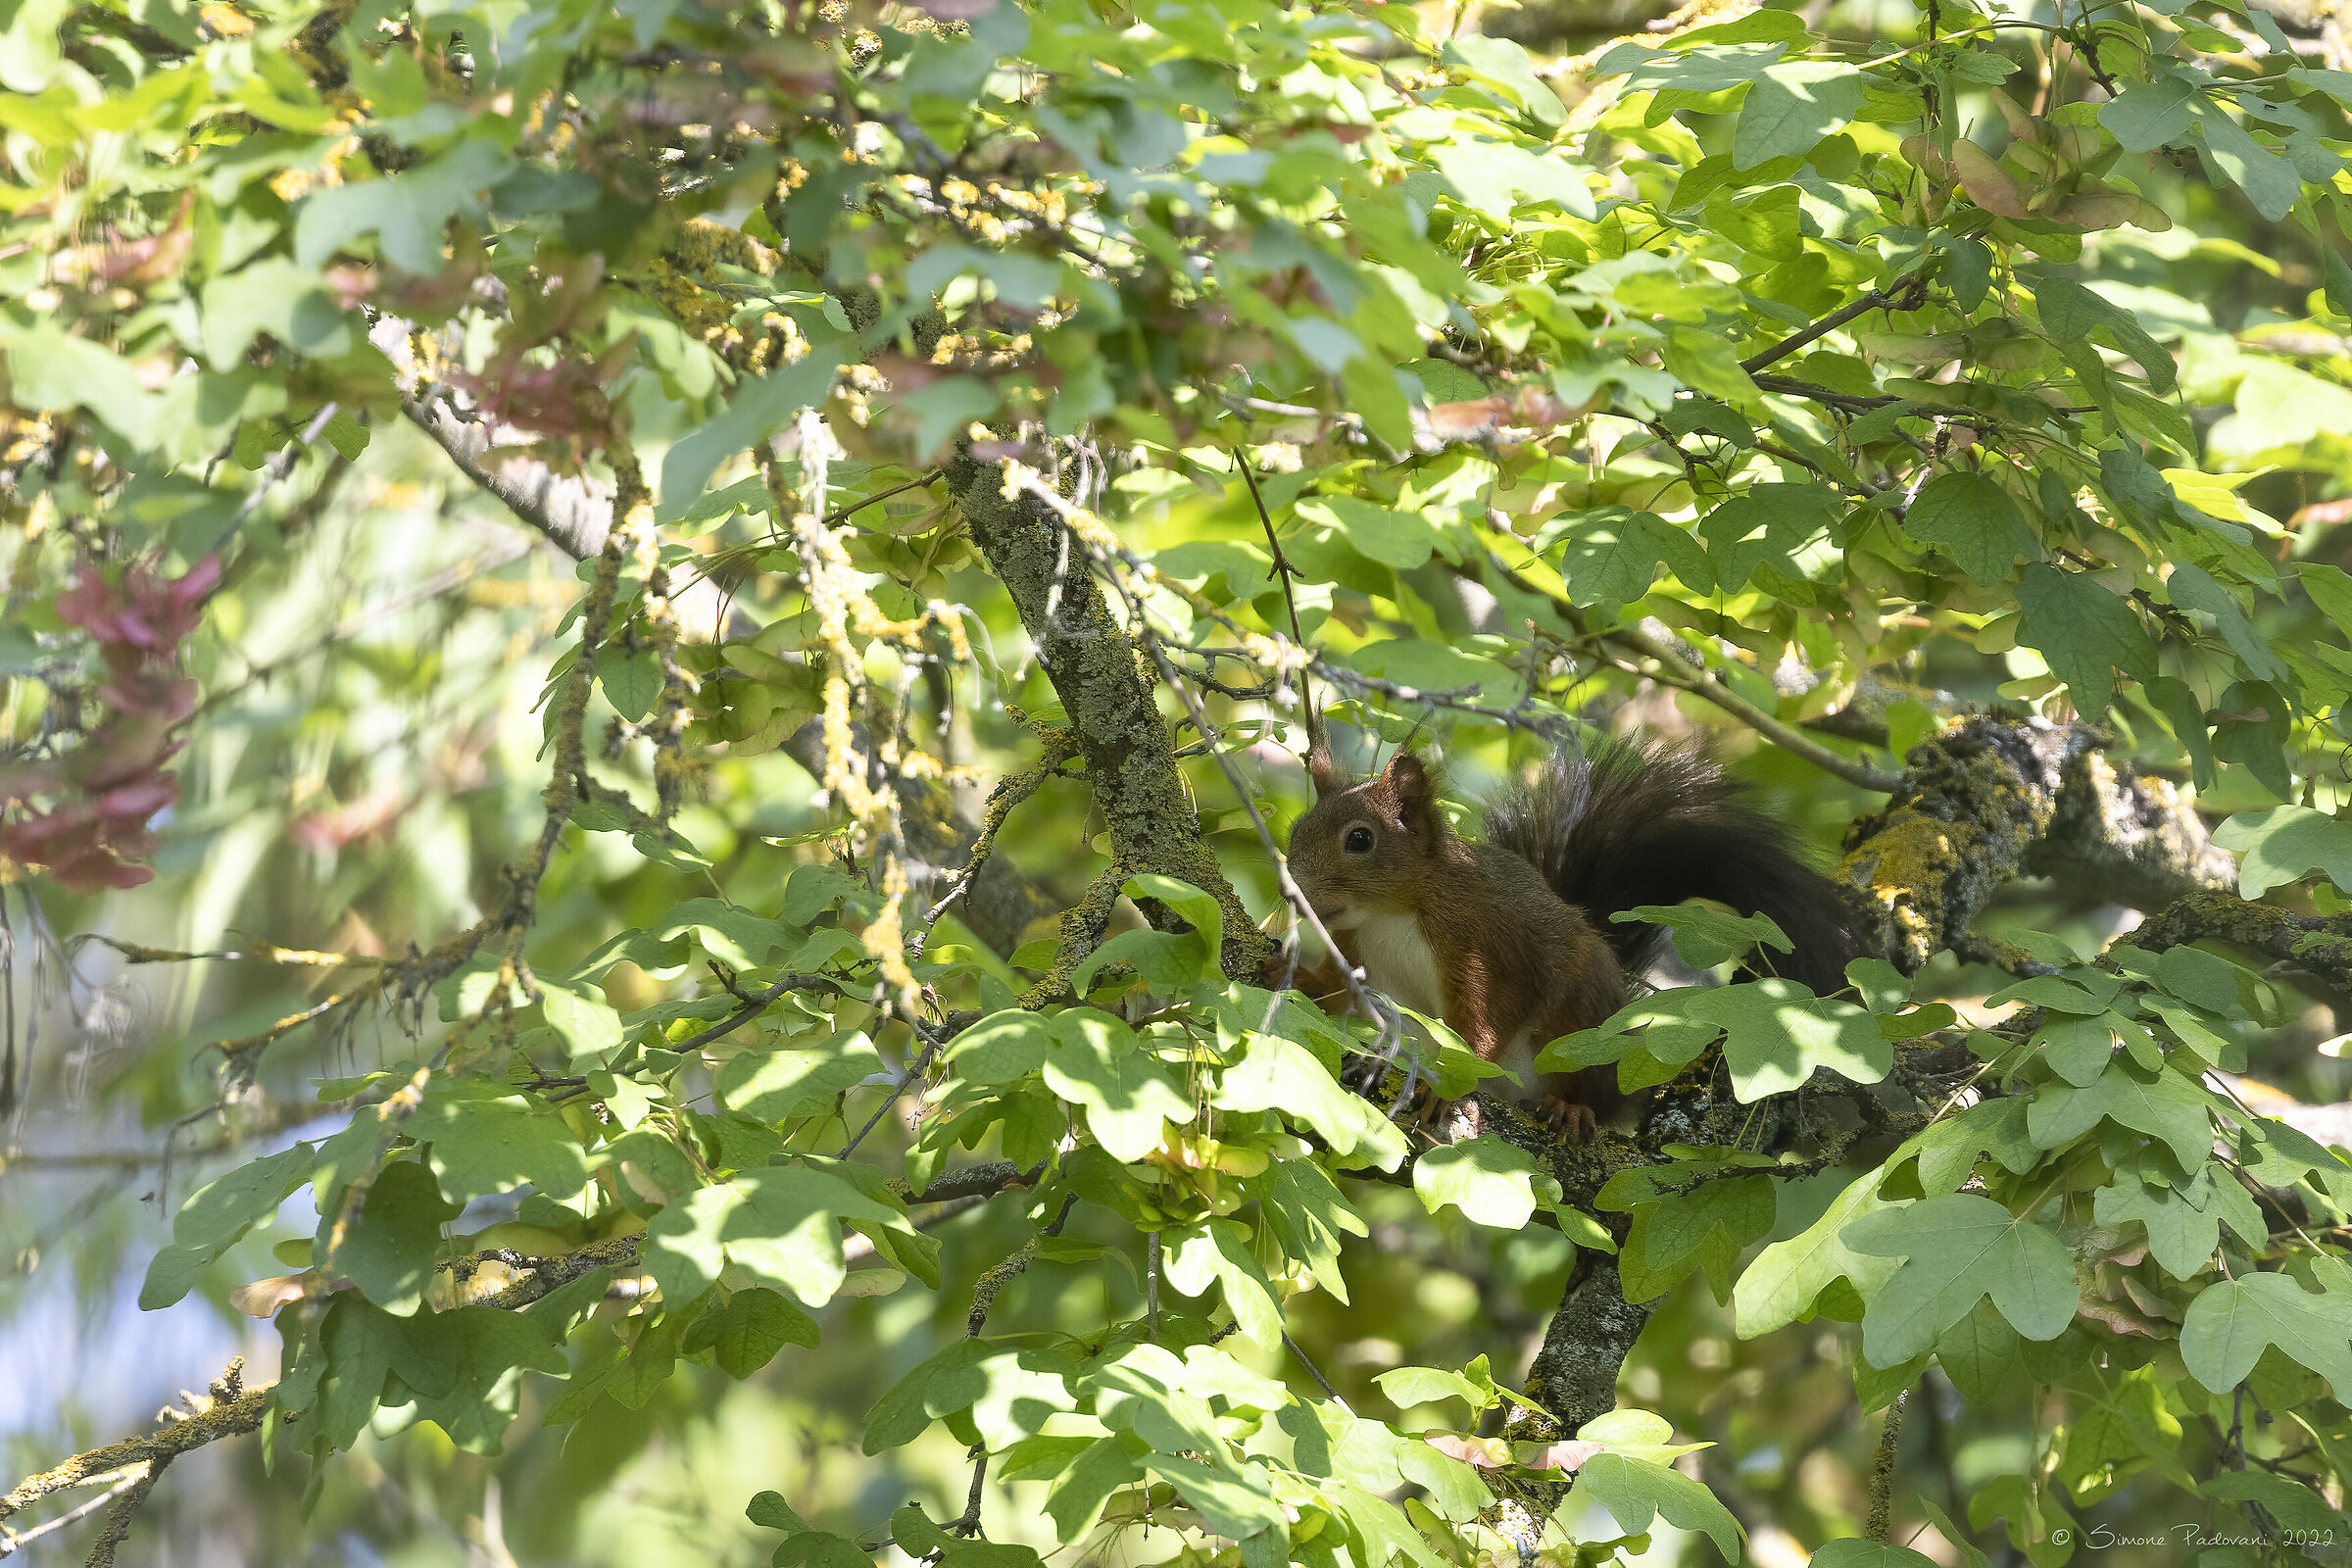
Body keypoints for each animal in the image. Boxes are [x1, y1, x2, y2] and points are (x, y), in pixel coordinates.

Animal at [1284, 737, 1857, 1136]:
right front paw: (1301, 981)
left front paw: (1451, 1082)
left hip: (1573, 1027)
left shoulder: (1484, 945)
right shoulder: (1354, 947)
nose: (1293, 889)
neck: (1389, 912)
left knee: (1592, 1097)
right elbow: (1340, 992)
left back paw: (1571, 1108)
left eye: (1360, 839)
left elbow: (1490, 1018)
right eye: (1295, 830)